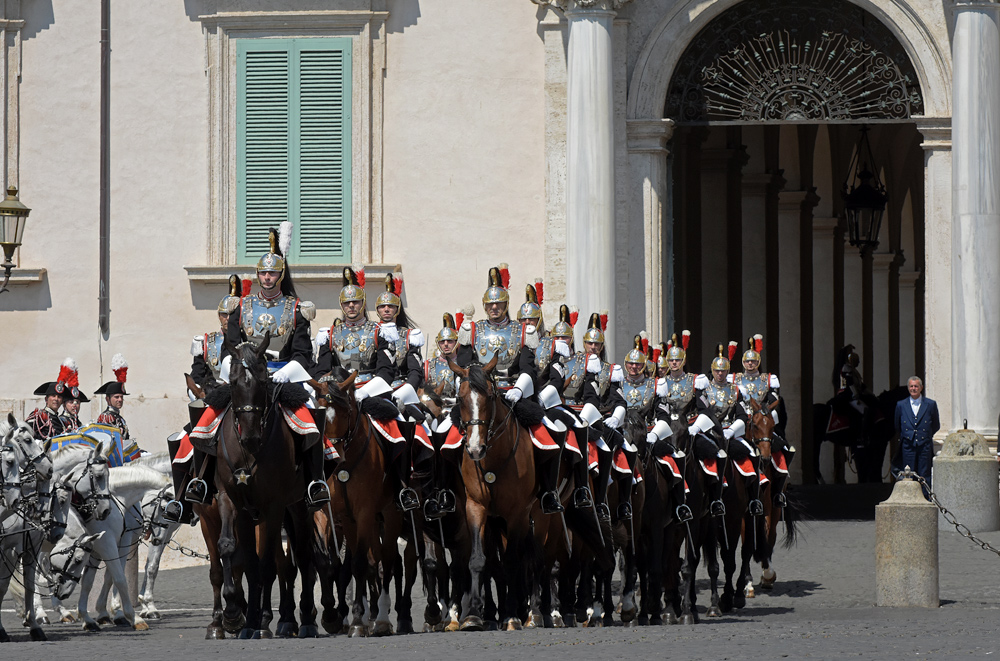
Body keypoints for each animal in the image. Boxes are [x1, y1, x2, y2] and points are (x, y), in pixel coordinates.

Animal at [216, 336, 320, 640]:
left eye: (264, 382)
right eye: (233, 383)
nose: (250, 437)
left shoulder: (273, 507)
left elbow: (265, 565)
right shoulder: (236, 503)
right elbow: (243, 559)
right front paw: (242, 619)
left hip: (298, 506)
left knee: (304, 558)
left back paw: (305, 620)